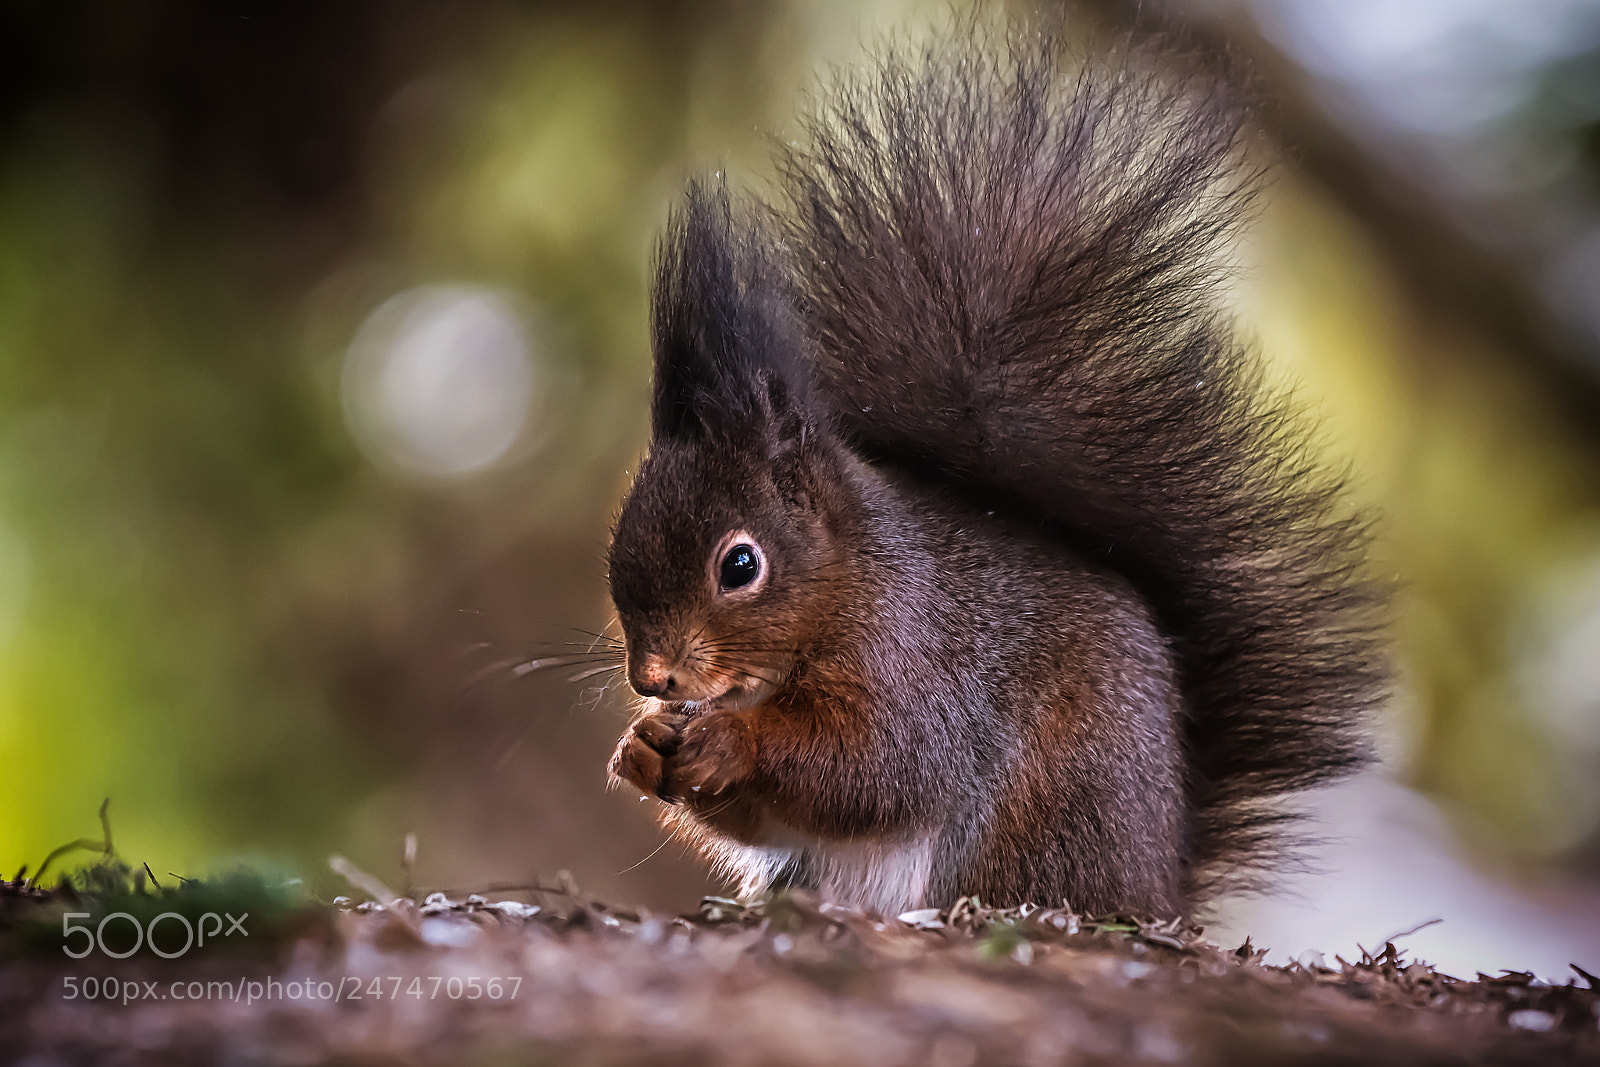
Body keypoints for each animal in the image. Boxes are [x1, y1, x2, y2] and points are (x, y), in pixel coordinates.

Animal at [604, 26, 1388, 919]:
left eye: (740, 564)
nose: (651, 676)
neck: (850, 580)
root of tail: (1162, 885)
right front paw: (640, 746)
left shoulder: (917, 662)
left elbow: (879, 765)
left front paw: (726, 737)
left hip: (1051, 815)